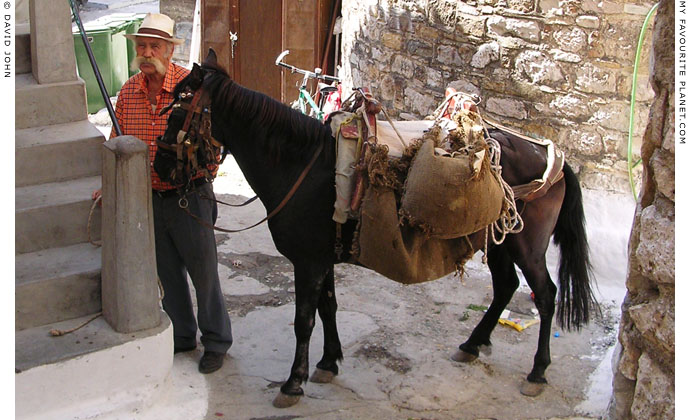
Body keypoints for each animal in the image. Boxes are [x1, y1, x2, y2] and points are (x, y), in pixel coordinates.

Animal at [156, 49, 596, 406]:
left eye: (177, 108)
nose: (160, 167)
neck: (300, 166)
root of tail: (548, 154)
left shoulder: (307, 262)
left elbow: (304, 320)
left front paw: (293, 383)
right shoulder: (322, 258)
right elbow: (328, 307)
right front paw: (329, 362)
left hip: (527, 246)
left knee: (545, 295)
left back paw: (537, 371)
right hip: (500, 242)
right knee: (506, 286)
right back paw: (472, 344)